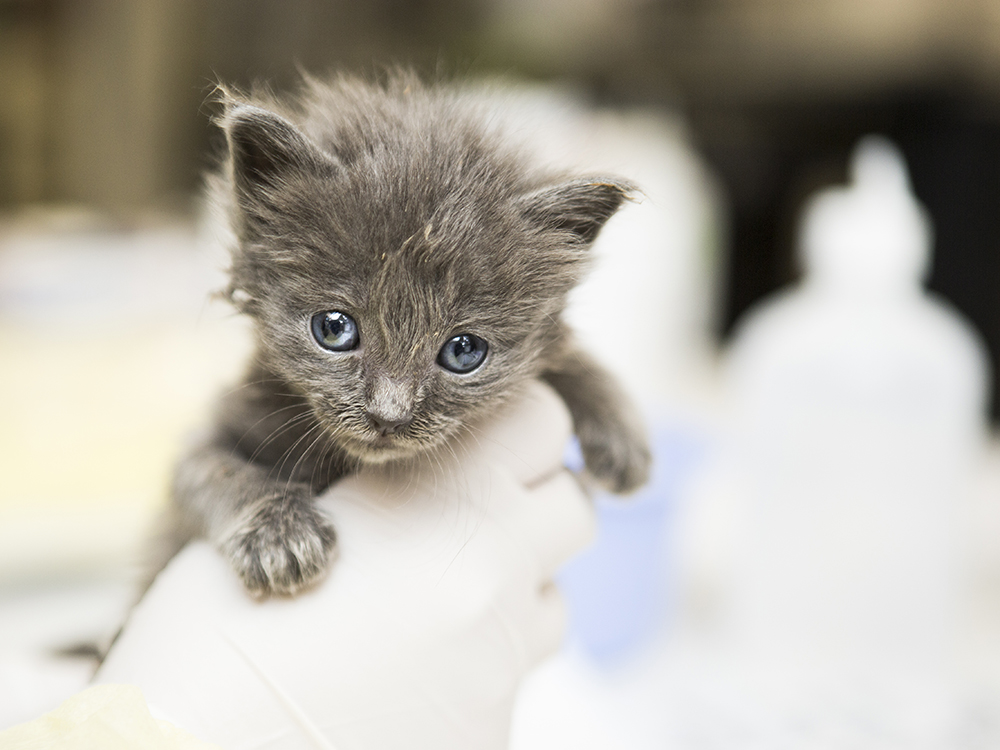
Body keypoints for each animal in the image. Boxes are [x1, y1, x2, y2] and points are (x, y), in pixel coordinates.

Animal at [170, 73, 656, 596]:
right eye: (334, 328)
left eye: (464, 351)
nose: (389, 415)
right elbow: (206, 468)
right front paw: (277, 533)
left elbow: (562, 354)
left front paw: (621, 431)